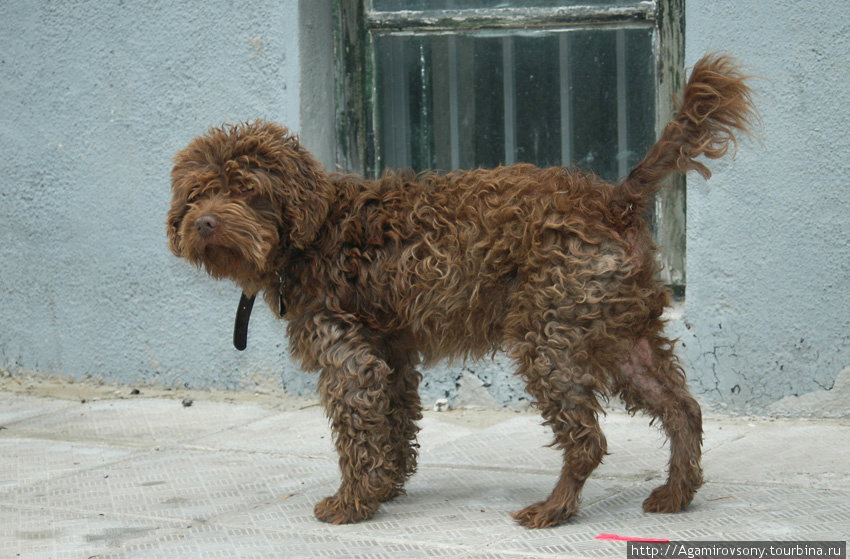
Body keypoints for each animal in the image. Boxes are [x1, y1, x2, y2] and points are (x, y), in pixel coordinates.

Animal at [166, 53, 756, 528]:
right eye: (197, 193)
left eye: (247, 190)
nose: (205, 222)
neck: (314, 232)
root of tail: (612, 198)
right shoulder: (390, 354)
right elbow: (395, 424)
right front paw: (385, 488)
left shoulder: (349, 359)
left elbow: (359, 434)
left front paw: (352, 503)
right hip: (619, 334)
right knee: (683, 410)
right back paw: (677, 492)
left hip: (549, 339)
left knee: (589, 439)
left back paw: (555, 509)